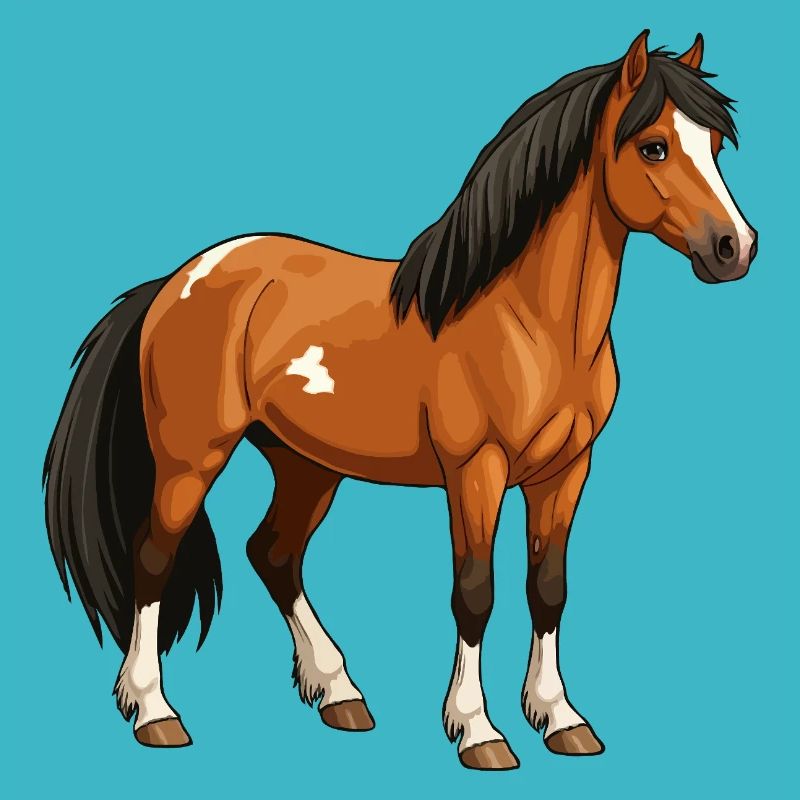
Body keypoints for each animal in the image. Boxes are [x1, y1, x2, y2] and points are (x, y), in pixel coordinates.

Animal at [44, 30, 756, 769]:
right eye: (654, 146)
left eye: (715, 144)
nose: (734, 248)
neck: (528, 321)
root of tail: (177, 280)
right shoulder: (476, 471)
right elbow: (475, 593)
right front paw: (479, 730)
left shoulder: (567, 470)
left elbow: (548, 588)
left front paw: (561, 718)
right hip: (191, 457)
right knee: (155, 558)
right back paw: (154, 711)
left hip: (306, 464)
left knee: (273, 553)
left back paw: (339, 693)